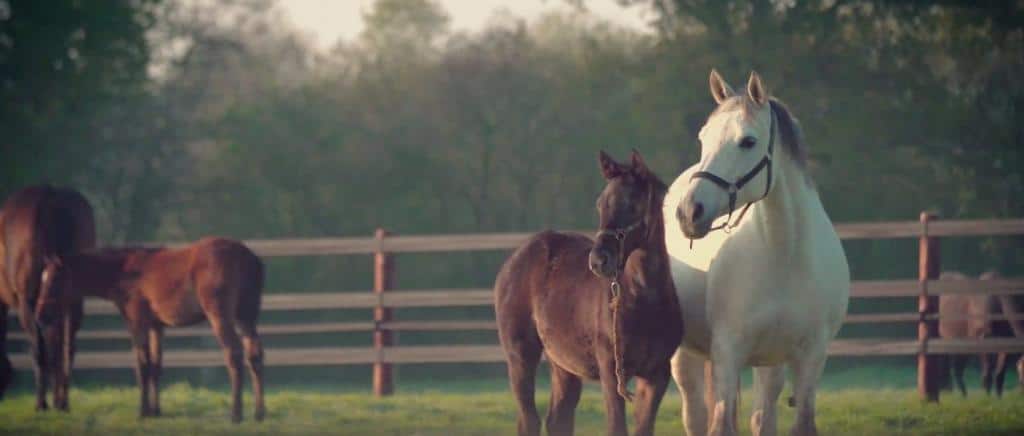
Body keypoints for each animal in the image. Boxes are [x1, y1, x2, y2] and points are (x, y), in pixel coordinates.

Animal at [0, 185, 95, 409]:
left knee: (42, 348)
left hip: (29, 303)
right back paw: (62, 400)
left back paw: (43, 402)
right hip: (70, 301)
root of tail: (50, 198)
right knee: (65, 346)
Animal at [37, 236, 264, 421]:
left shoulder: (137, 323)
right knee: (255, 357)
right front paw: (156, 411)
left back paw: (236, 414)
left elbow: (142, 365)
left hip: (220, 317)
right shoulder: (156, 327)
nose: (40, 316)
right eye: (43, 279)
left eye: (54, 280)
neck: (126, 272)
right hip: (246, 318)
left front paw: (143, 411)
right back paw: (259, 413)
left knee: (234, 355)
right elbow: (155, 366)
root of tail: (247, 257)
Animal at [493, 150, 679, 436]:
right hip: (520, 354)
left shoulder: (657, 374)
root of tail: (514, 259)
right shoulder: (611, 371)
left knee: (558, 420)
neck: (643, 300)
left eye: (632, 204)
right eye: (600, 204)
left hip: (563, 362)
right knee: (529, 420)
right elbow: (616, 427)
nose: (599, 260)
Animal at [659, 70, 851, 436]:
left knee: (763, 415)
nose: (689, 212)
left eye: (748, 141)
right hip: (686, 358)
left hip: (770, 362)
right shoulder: (727, 352)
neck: (785, 254)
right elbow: (721, 424)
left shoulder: (811, 358)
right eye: (703, 138)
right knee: (696, 415)